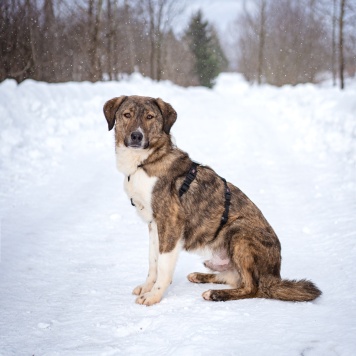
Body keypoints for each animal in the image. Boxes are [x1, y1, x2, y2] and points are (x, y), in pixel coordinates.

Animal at [103, 94, 322, 306]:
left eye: (150, 117)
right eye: (127, 115)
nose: (136, 136)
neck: (145, 161)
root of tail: (275, 275)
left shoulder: (170, 221)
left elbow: (163, 265)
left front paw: (154, 296)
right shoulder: (153, 224)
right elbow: (153, 260)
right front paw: (147, 287)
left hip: (239, 232)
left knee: (252, 287)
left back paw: (216, 294)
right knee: (234, 278)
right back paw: (200, 277)